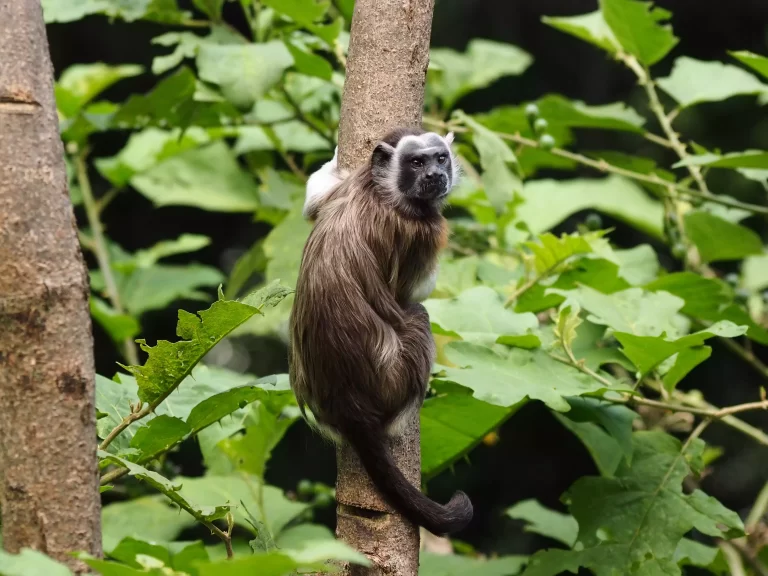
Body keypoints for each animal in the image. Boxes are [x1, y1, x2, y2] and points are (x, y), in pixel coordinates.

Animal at [286, 126, 472, 536]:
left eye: (440, 157)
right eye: (416, 162)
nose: (435, 176)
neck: (378, 191)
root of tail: (349, 404)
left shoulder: (347, 188)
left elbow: (312, 203)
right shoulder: (423, 228)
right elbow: (415, 293)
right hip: (393, 378)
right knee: (419, 316)